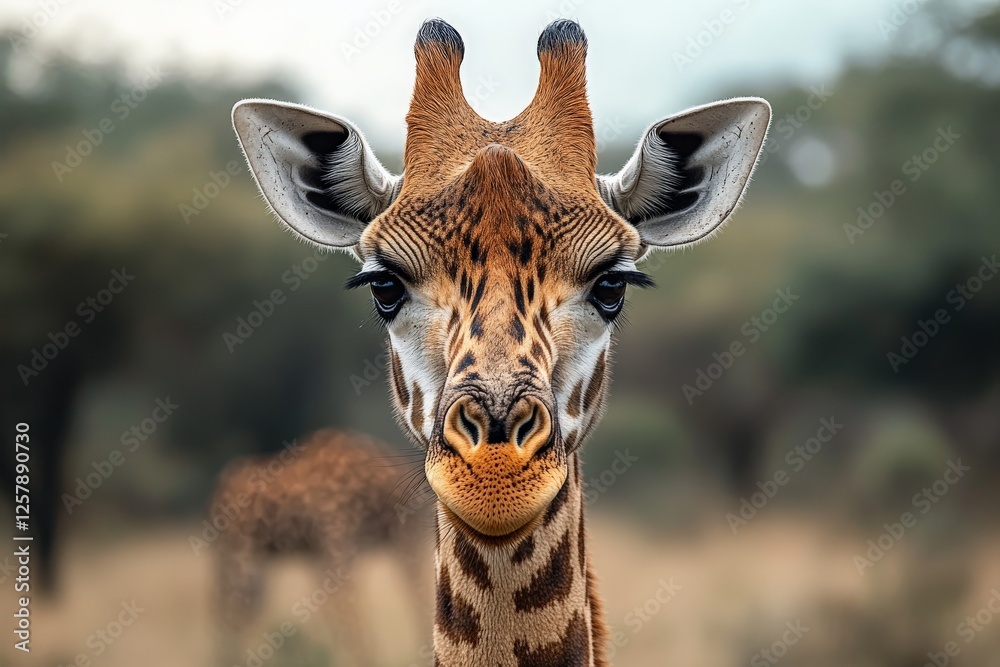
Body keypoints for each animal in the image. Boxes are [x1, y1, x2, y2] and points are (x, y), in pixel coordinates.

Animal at [209, 428, 431, 665]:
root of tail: (219, 489)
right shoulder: (339, 544)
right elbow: (352, 617)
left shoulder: (402, 535)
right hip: (239, 557)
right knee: (229, 612)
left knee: (239, 612)